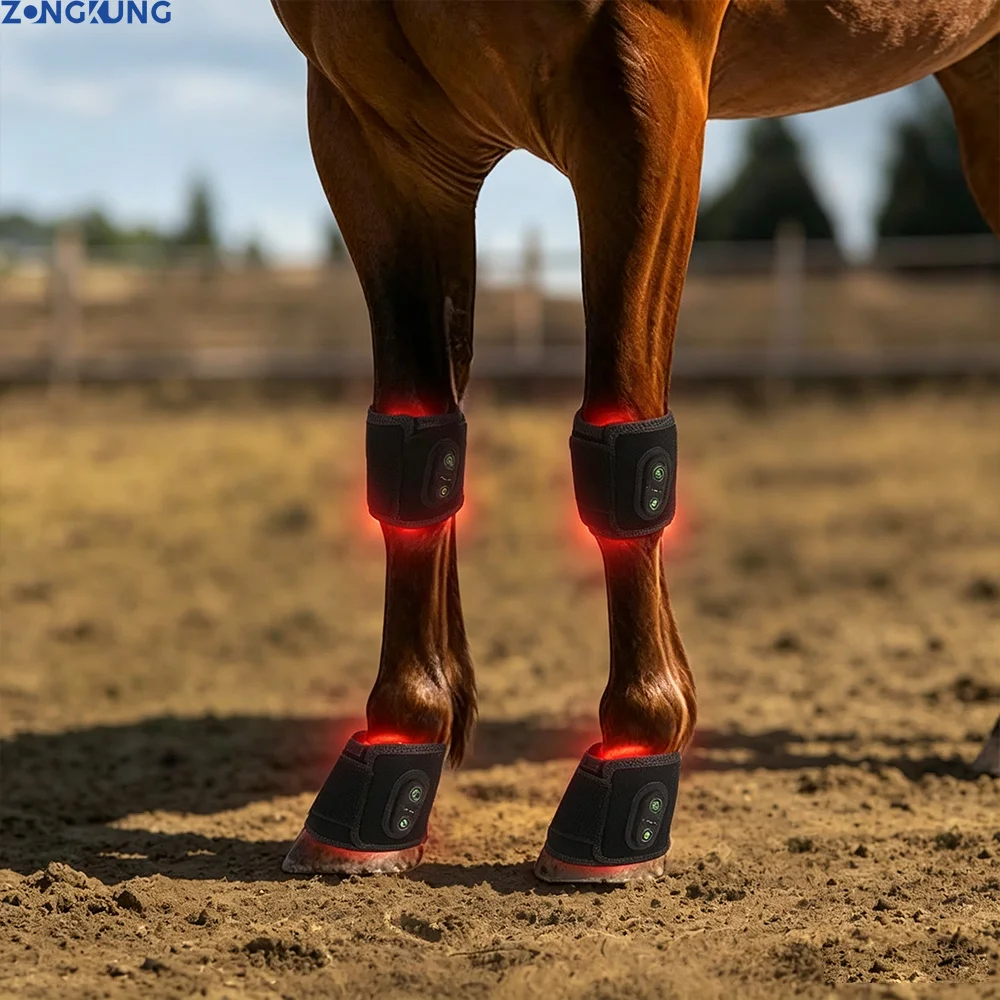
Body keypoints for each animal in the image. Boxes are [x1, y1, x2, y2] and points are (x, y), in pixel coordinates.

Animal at [270, 0, 1000, 882]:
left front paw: (636, 757)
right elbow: (416, 456)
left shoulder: (640, 87)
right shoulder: (368, 127)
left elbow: (622, 452)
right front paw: (396, 753)